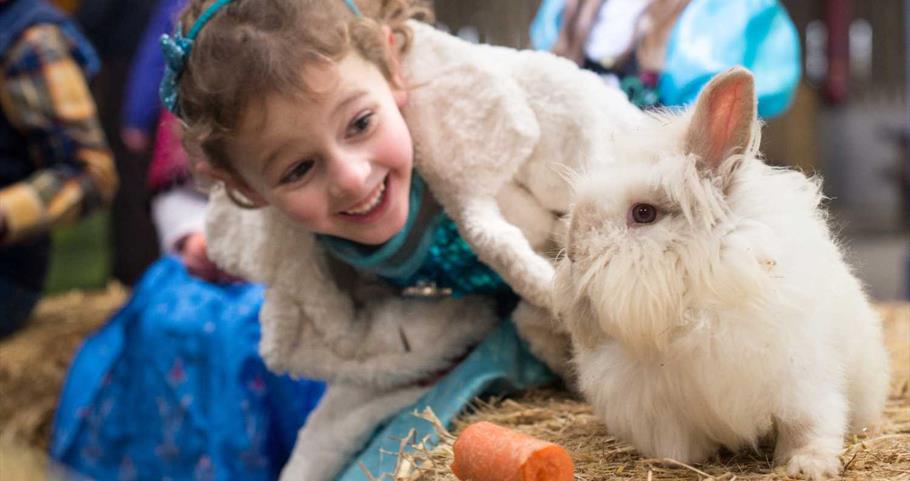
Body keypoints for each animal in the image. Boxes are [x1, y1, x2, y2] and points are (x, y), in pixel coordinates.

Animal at [556, 68, 892, 480]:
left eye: (643, 213)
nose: (574, 253)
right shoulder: (663, 410)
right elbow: (677, 447)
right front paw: (676, 462)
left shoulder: (804, 383)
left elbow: (809, 427)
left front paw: (808, 466)